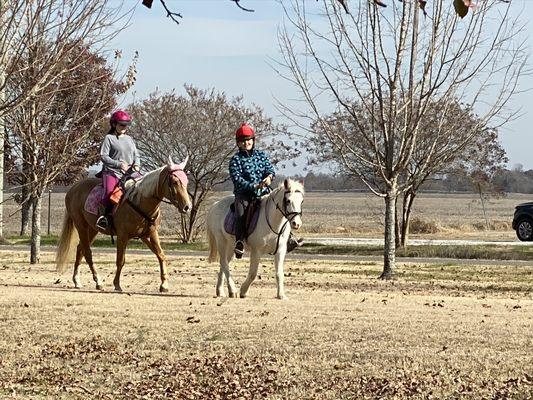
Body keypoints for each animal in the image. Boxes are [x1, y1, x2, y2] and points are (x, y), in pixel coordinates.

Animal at [55, 157, 191, 294]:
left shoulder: (149, 234)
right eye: (174, 182)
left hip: (93, 229)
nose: (187, 207)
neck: (139, 202)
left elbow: (161, 255)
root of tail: (73, 189)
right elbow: (120, 260)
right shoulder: (123, 236)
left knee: (80, 249)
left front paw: (164, 284)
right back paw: (98, 282)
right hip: (81, 226)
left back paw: (77, 281)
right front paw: (117, 284)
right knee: (87, 252)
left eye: (186, 181)